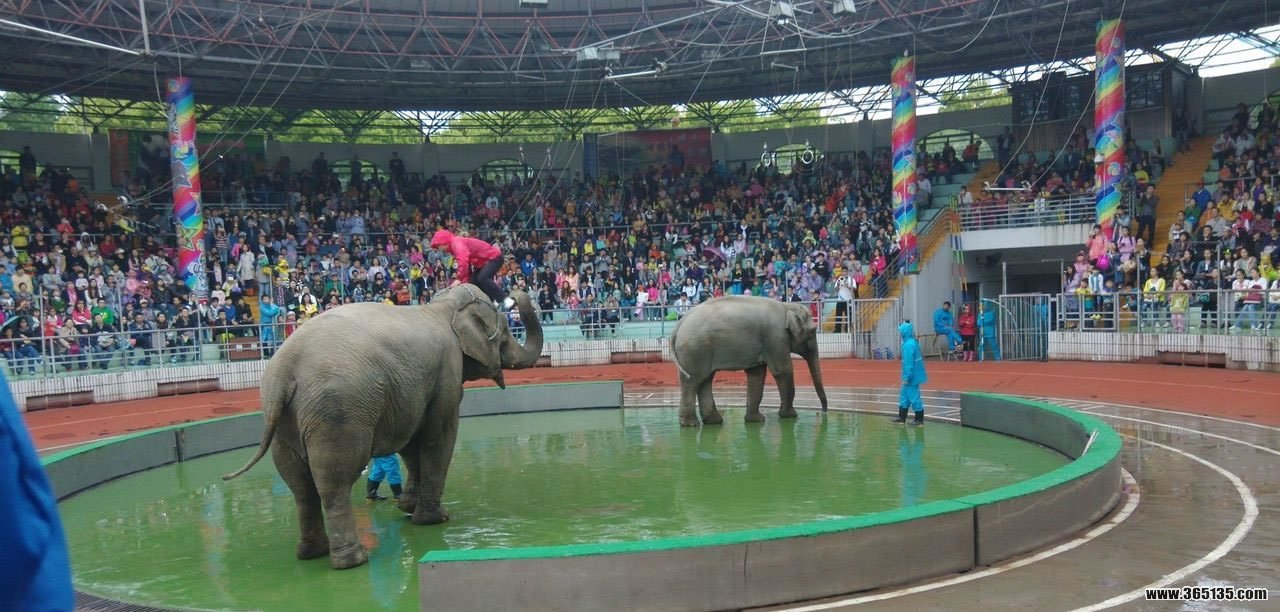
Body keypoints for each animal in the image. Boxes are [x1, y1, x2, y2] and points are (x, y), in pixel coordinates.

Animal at [221, 283, 543, 570]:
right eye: (505, 334)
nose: (514, 292)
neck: (441, 307)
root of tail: (284, 372)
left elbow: (411, 443)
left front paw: (407, 508)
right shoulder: (447, 375)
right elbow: (438, 437)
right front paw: (436, 518)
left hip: (284, 423)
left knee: (300, 487)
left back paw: (311, 553)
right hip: (338, 414)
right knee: (334, 483)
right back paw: (353, 560)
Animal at [669, 295, 829, 427]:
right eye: (812, 332)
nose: (824, 411)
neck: (787, 306)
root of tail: (679, 324)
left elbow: (756, 374)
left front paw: (756, 420)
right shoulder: (776, 336)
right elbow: (782, 370)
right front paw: (790, 416)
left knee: (705, 380)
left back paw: (713, 421)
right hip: (695, 349)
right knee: (693, 381)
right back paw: (691, 424)